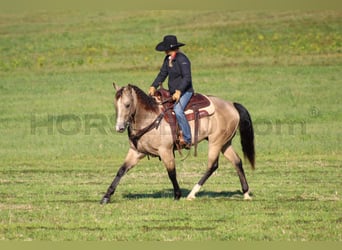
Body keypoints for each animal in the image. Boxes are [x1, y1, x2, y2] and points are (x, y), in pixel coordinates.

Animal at [99, 83, 254, 204]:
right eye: (115, 106)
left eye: (127, 105)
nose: (119, 128)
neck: (151, 118)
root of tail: (231, 105)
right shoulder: (136, 152)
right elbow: (121, 170)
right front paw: (106, 196)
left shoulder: (165, 151)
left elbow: (171, 172)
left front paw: (177, 195)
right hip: (225, 143)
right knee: (237, 161)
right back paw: (246, 193)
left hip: (216, 142)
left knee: (212, 166)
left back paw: (192, 193)